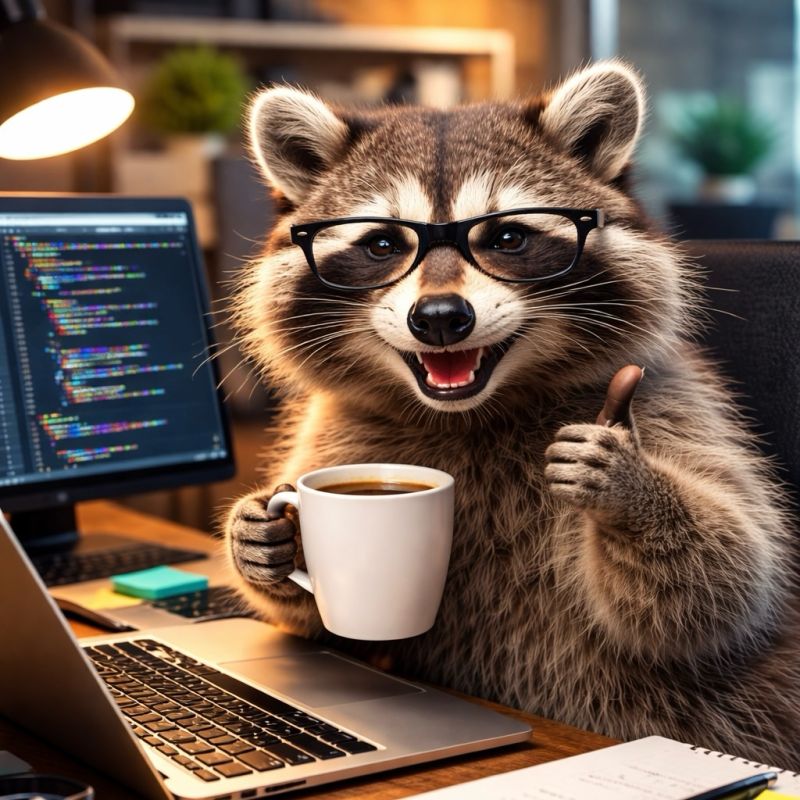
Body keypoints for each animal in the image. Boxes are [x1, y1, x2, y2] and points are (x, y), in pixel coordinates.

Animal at [225, 61, 800, 767]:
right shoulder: (341, 430)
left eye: (507, 237)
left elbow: (728, 583)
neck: (473, 410)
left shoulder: (673, 401)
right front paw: (263, 537)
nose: (440, 318)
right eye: (383, 244)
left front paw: (630, 488)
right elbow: (319, 625)